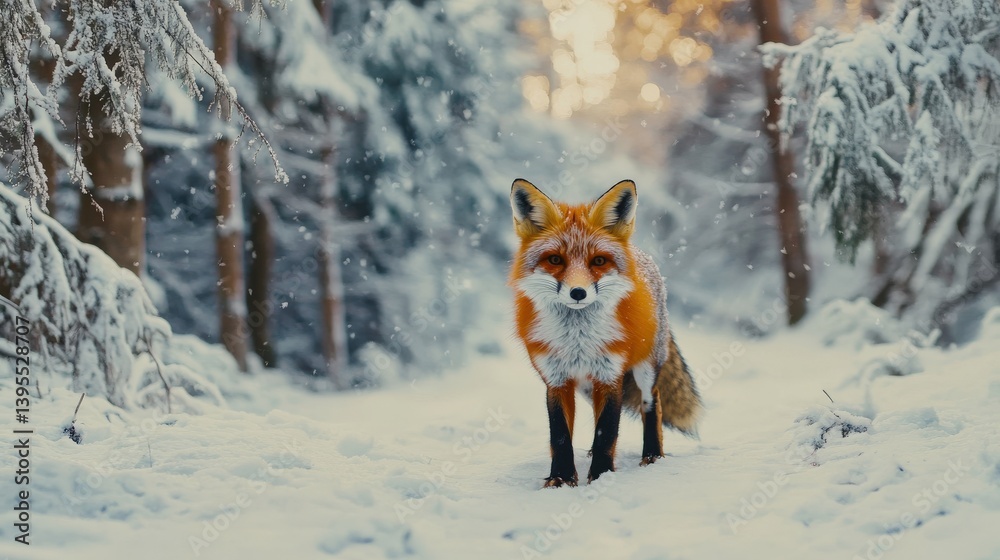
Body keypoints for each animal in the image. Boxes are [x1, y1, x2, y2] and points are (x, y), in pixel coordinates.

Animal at [509, 178, 702, 488]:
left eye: (598, 261)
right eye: (555, 259)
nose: (578, 292)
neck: (577, 340)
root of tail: (643, 257)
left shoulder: (610, 376)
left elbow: (607, 431)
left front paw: (600, 477)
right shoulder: (556, 379)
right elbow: (560, 435)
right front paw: (561, 479)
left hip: (644, 369)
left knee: (652, 403)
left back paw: (653, 455)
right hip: (588, 386)